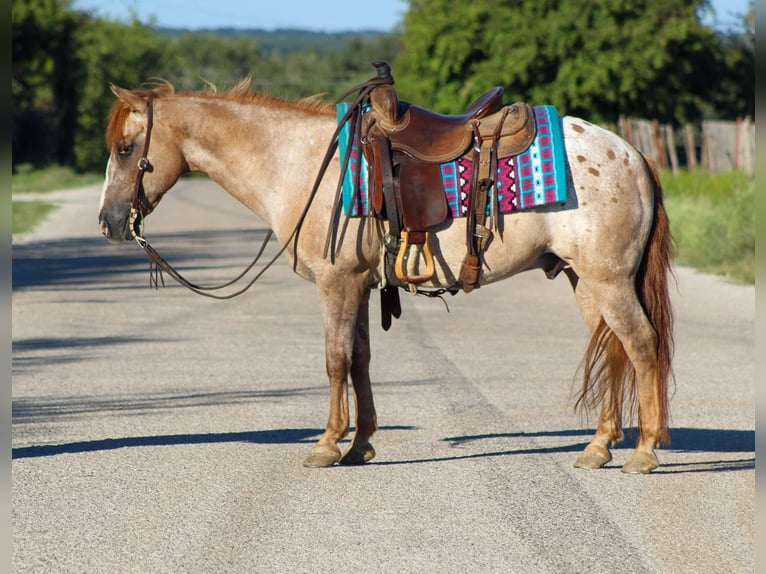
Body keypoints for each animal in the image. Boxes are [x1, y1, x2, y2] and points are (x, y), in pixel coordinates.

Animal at [97, 78, 673, 474]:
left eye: (126, 149)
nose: (108, 222)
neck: (302, 164)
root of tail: (631, 154)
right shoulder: (357, 284)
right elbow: (360, 361)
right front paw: (360, 445)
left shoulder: (336, 282)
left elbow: (334, 361)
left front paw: (326, 446)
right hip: (584, 280)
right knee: (611, 346)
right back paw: (597, 446)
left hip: (608, 280)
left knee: (641, 344)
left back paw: (644, 450)